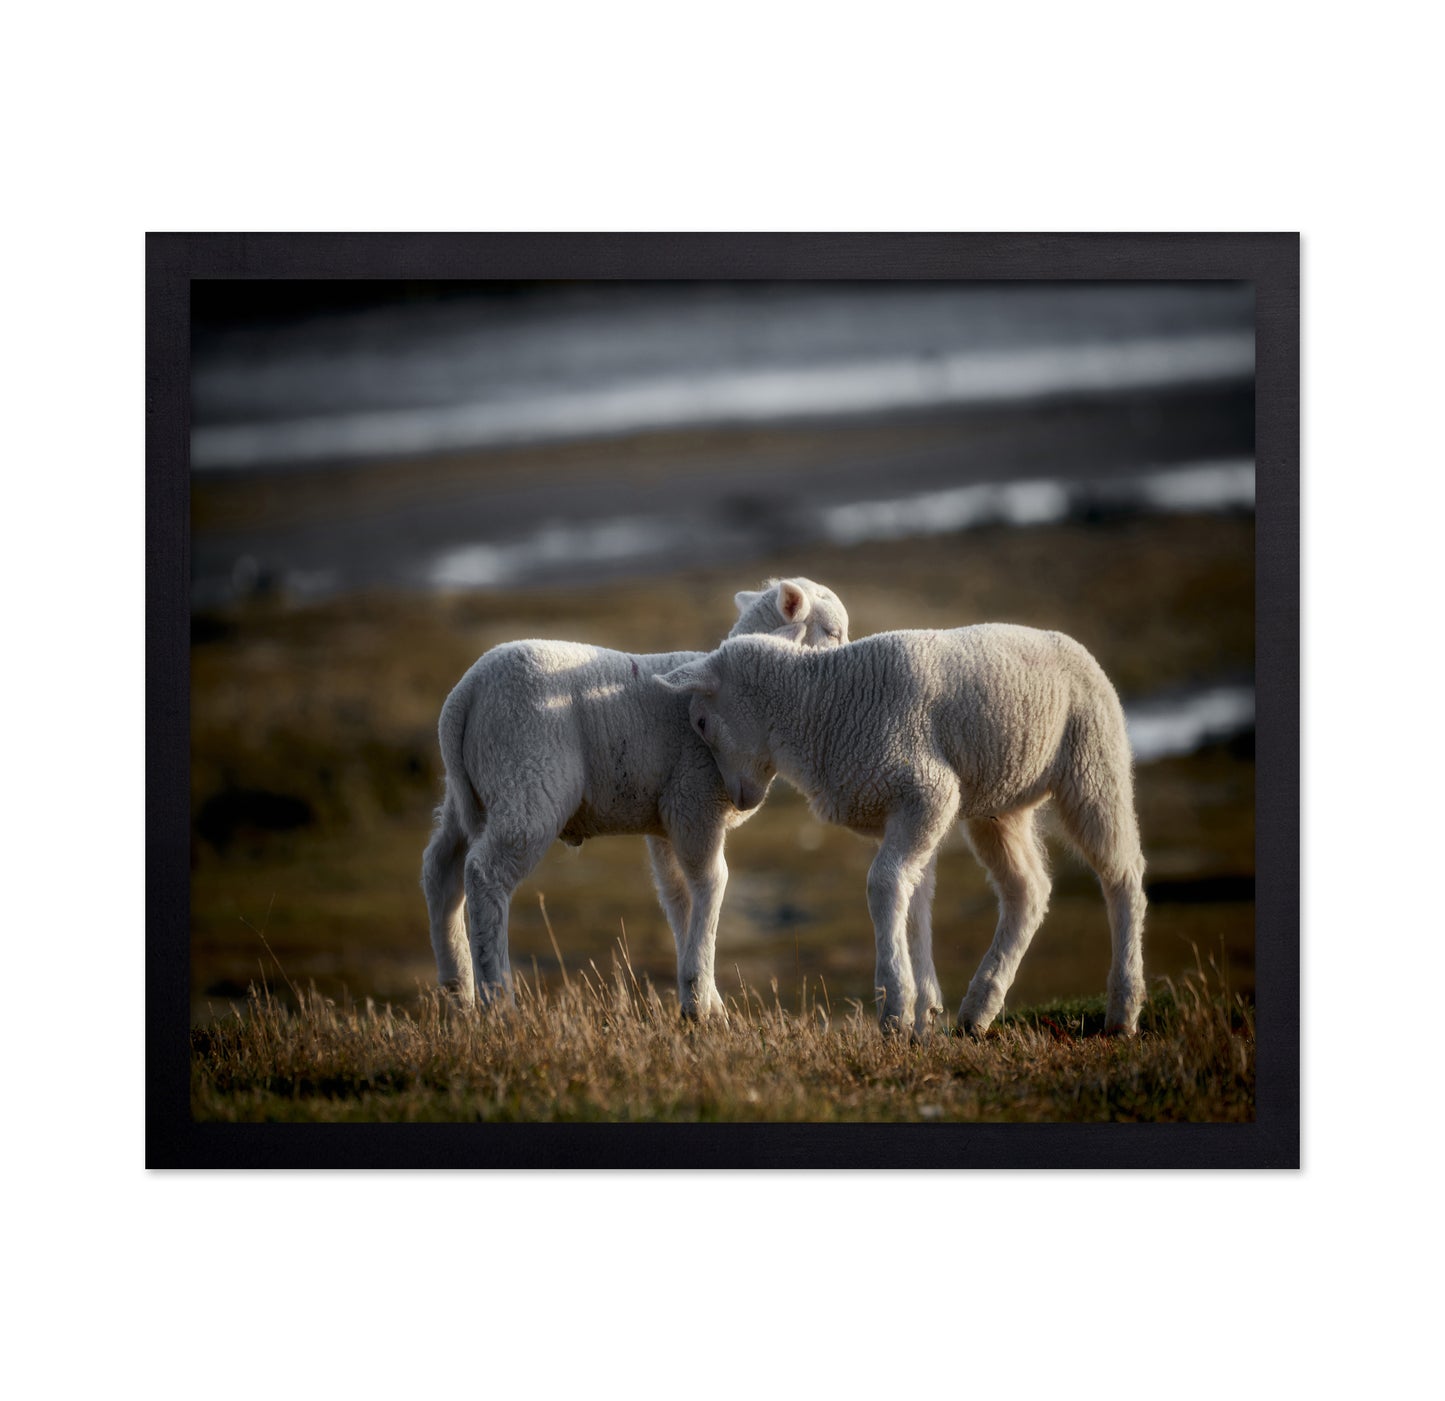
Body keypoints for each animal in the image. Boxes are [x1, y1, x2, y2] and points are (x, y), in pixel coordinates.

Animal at [421, 578, 850, 1017]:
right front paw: (700, 999)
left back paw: (457, 988)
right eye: (833, 632)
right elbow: (712, 883)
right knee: (484, 874)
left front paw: (706, 1000)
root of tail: (466, 693)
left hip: (471, 792)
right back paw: (498, 1001)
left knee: (441, 870)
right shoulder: (694, 802)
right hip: (528, 779)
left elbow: (678, 897)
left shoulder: (666, 820)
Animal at [655, 624, 1147, 1037]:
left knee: (1122, 876)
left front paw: (895, 1007)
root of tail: (1070, 643)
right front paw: (922, 1011)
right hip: (1000, 804)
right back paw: (979, 1008)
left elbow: (884, 884)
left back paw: (1123, 1009)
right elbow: (913, 898)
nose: (738, 802)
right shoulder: (899, 809)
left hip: (1093, 762)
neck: (819, 708)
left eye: (701, 722)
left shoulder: (929, 791)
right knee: (1028, 889)